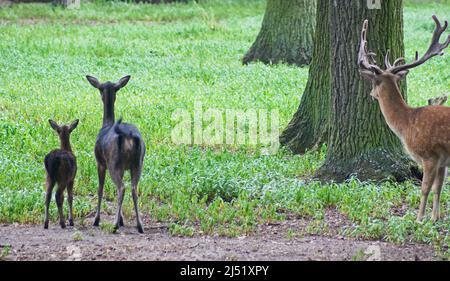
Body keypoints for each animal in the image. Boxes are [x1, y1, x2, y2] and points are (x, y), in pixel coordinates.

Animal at [86, 74, 146, 232]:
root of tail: (129, 136)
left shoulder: (100, 162)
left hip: (113, 162)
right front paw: (121, 219)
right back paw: (139, 225)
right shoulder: (124, 168)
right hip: (138, 163)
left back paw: (114, 225)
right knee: (133, 188)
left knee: (122, 188)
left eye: (100, 89)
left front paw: (97, 220)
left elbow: (100, 189)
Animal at [358, 15, 450, 221]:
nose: (371, 93)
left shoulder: (429, 155)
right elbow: (438, 188)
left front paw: (419, 219)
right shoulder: (442, 161)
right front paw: (435, 218)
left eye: (374, 82)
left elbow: (425, 188)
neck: (407, 123)